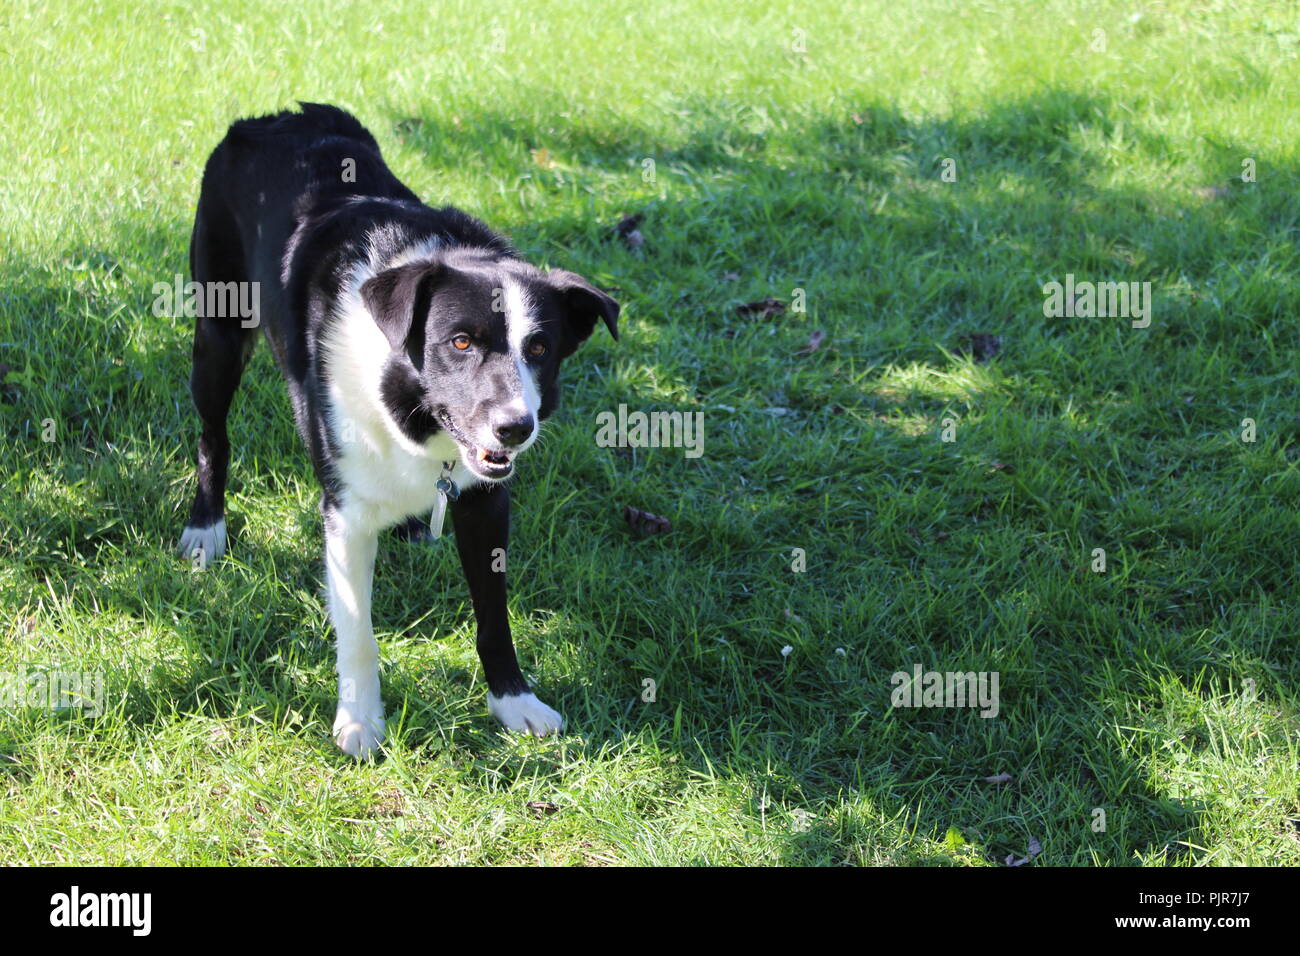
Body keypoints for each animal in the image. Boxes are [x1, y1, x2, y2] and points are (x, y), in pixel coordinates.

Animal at [178, 104, 618, 759]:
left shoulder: (486, 500)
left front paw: (513, 702)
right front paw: (360, 722)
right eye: (459, 343)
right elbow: (357, 631)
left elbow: (494, 615)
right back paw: (205, 527)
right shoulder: (346, 514)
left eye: (540, 348)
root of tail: (272, 117)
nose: (515, 428)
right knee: (213, 434)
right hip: (219, 332)